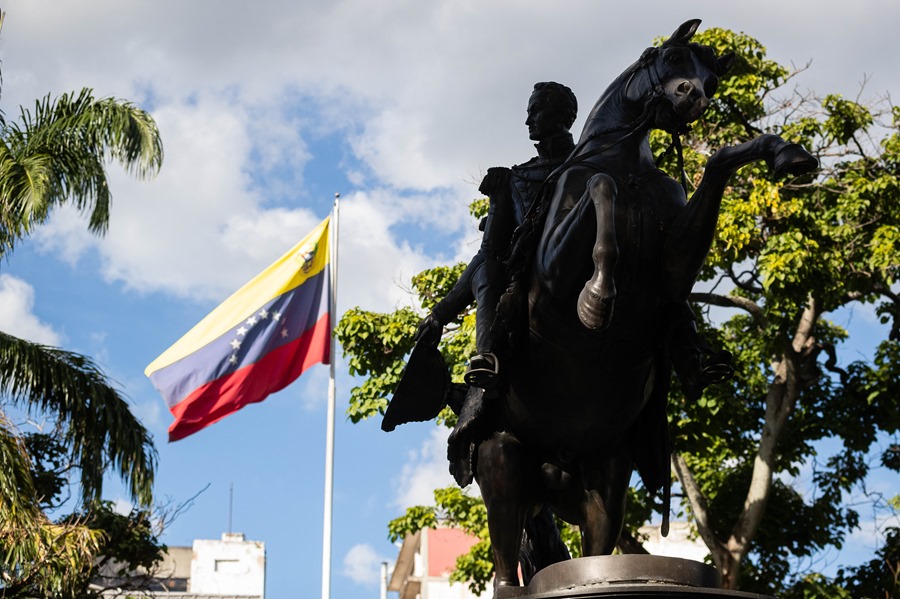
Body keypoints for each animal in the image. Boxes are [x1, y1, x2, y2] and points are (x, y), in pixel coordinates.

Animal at [474, 18, 820, 596]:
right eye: (672, 58)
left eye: (711, 79)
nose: (693, 97)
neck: (627, 161)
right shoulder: (549, 269)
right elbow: (601, 187)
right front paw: (597, 299)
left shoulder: (673, 269)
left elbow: (719, 160)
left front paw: (786, 152)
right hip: (502, 452)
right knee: (506, 552)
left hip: (606, 471)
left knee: (595, 538)